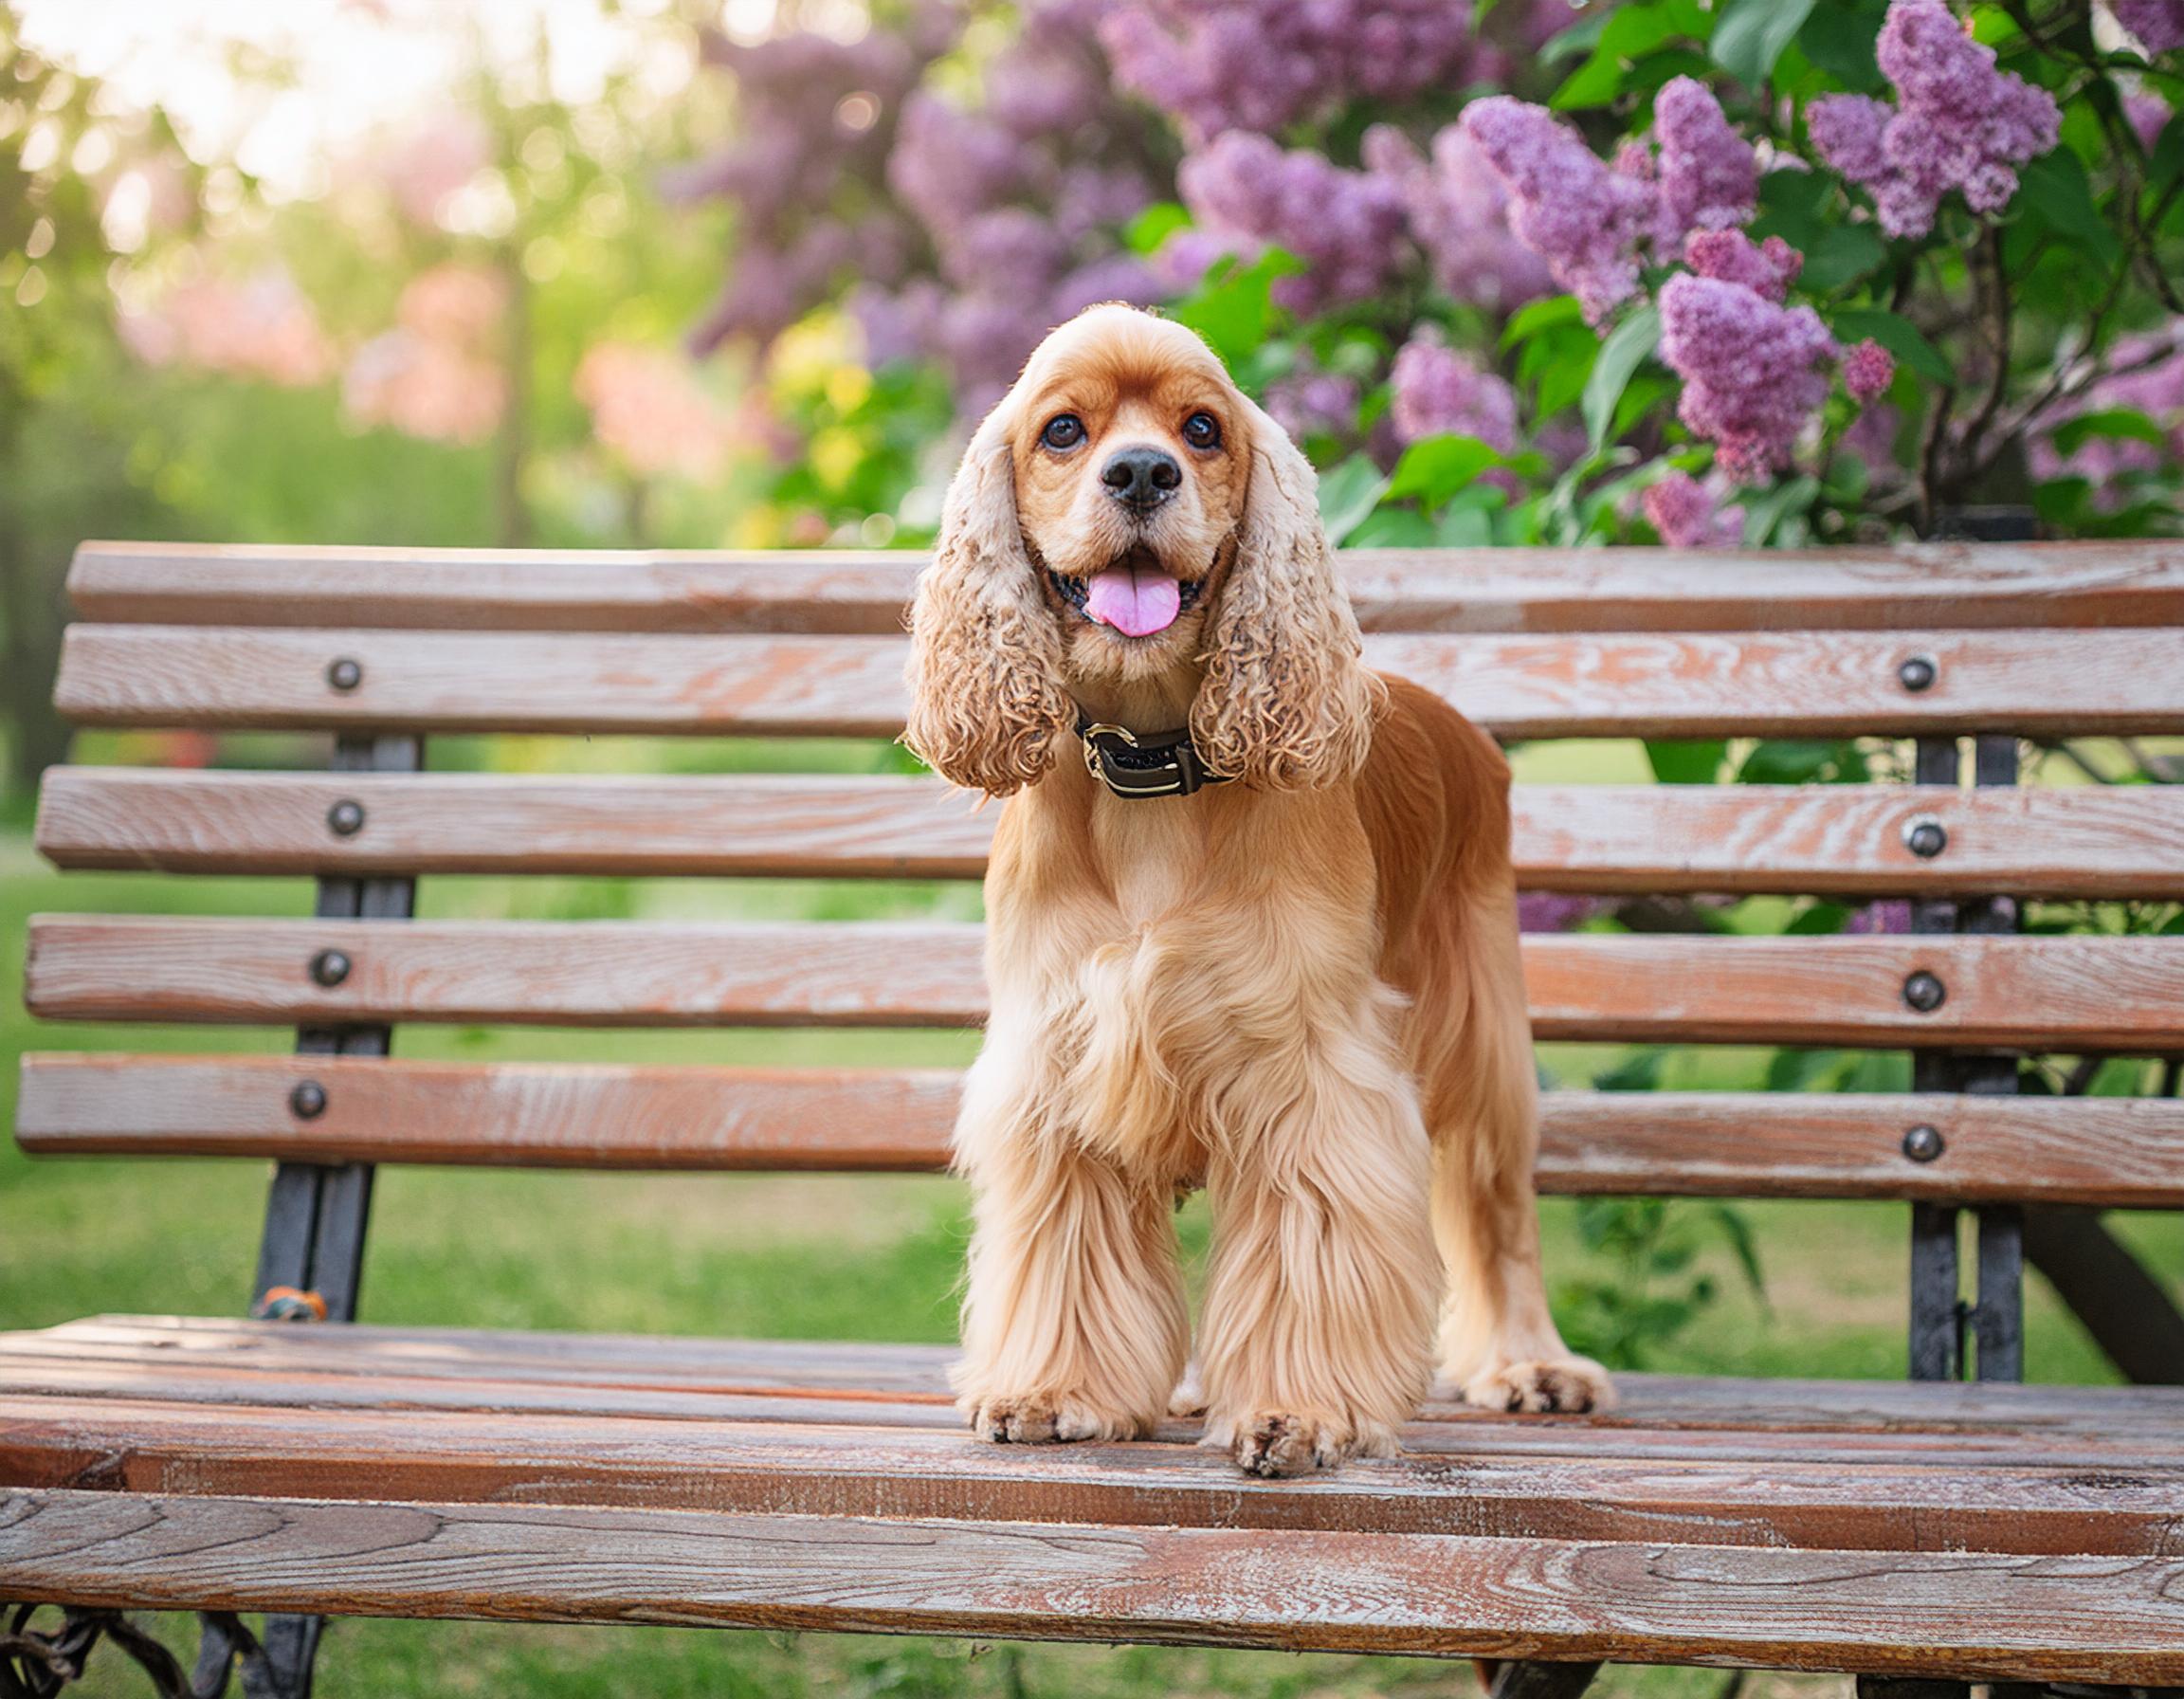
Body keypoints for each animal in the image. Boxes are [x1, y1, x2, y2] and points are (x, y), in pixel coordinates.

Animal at [900, 301, 1607, 1467]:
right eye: (1062, 431)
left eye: (1201, 428)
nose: (1143, 473)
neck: (1153, 770)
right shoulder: (1061, 1051)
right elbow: (1071, 1244)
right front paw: (1056, 1389)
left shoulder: (1309, 1066)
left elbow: (1306, 1247)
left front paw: (1297, 1411)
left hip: (1484, 1034)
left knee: (1497, 1207)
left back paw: (1529, 1366)